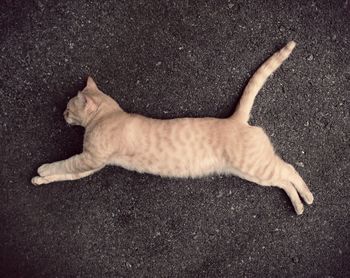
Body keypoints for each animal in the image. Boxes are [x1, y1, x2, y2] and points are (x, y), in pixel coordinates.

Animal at [31, 41, 314, 215]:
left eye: (69, 108)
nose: (62, 114)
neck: (108, 115)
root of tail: (235, 118)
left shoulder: (89, 158)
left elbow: (64, 164)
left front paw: (43, 169)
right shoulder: (91, 164)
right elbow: (65, 175)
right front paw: (40, 180)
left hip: (255, 166)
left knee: (288, 169)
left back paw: (307, 197)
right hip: (253, 173)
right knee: (282, 179)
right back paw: (299, 204)